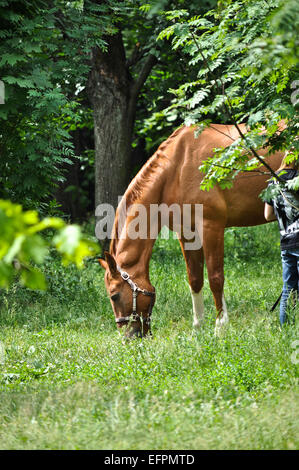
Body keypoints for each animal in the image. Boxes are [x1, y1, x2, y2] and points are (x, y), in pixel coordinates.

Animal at [99, 125, 284, 336]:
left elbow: (215, 278)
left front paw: (220, 326)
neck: (178, 169)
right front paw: (198, 328)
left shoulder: (211, 227)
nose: (128, 337)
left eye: (114, 295)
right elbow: (195, 279)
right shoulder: (186, 233)